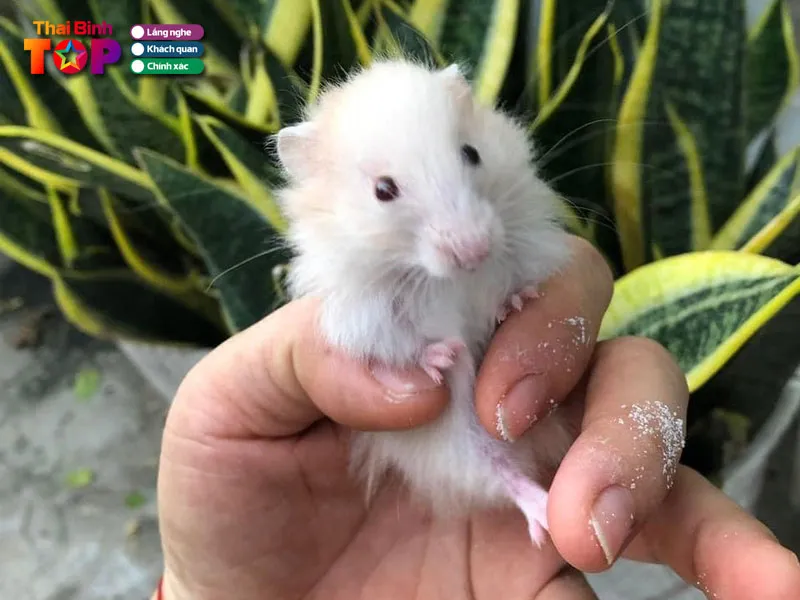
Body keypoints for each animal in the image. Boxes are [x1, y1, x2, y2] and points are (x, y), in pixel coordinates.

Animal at [273, 58, 575, 547]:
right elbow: (399, 344)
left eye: (471, 153)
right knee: (501, 476)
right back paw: (545, 514)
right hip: (460, 442)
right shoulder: (362, 316)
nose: (474, 252)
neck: (444, 280)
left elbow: (518, 280)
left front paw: (517, 303)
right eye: (383, 190)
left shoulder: (527, 244)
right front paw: (445, 357)